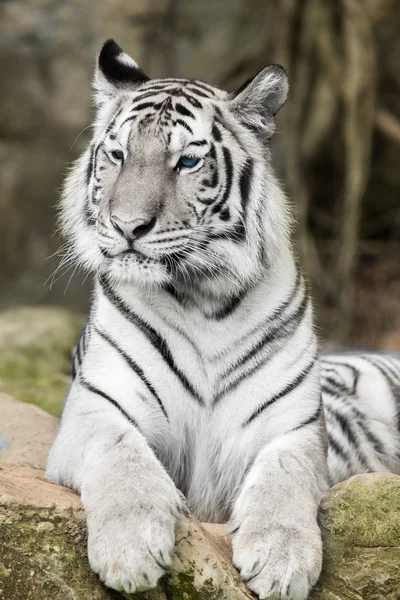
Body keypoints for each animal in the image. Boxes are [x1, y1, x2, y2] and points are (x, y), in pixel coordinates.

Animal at [47, 39, 400, 596]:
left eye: (187, 160)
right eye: (118, 154)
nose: (127, 226)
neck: (203, 299)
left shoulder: (291, 429)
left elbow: (281, 481)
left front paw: (282, 561)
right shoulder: (98, 409)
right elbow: (125, 458)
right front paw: (131, 552)